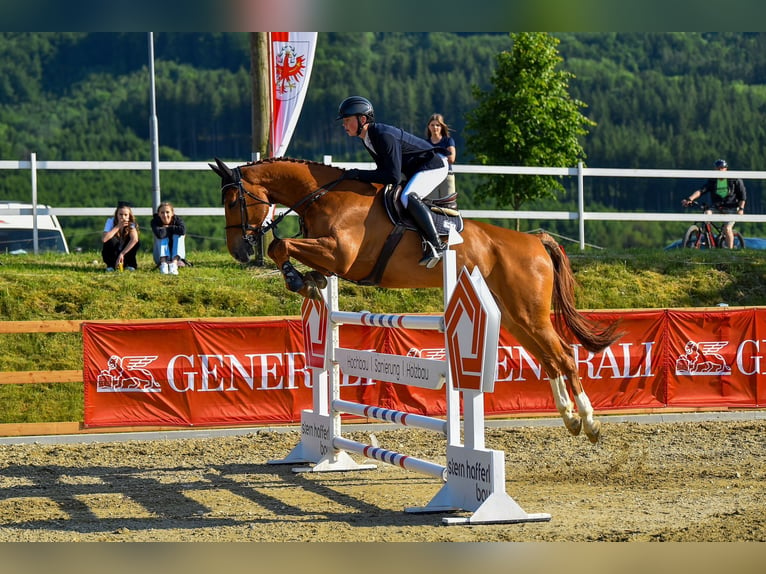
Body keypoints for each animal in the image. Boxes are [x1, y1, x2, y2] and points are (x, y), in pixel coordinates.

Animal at [213, 155, 620, 444]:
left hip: (529, 312)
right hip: (515, 317)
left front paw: (299, 279)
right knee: (549, 360)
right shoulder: (330, 255)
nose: (237, 252)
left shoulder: (341, 254)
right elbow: (287, 250)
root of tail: (535, 240)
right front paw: (309, 281)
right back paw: (570, 419)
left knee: (564, 355)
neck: (322, 195)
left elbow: (281, 244)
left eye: (233, 201)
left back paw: (590, 423)